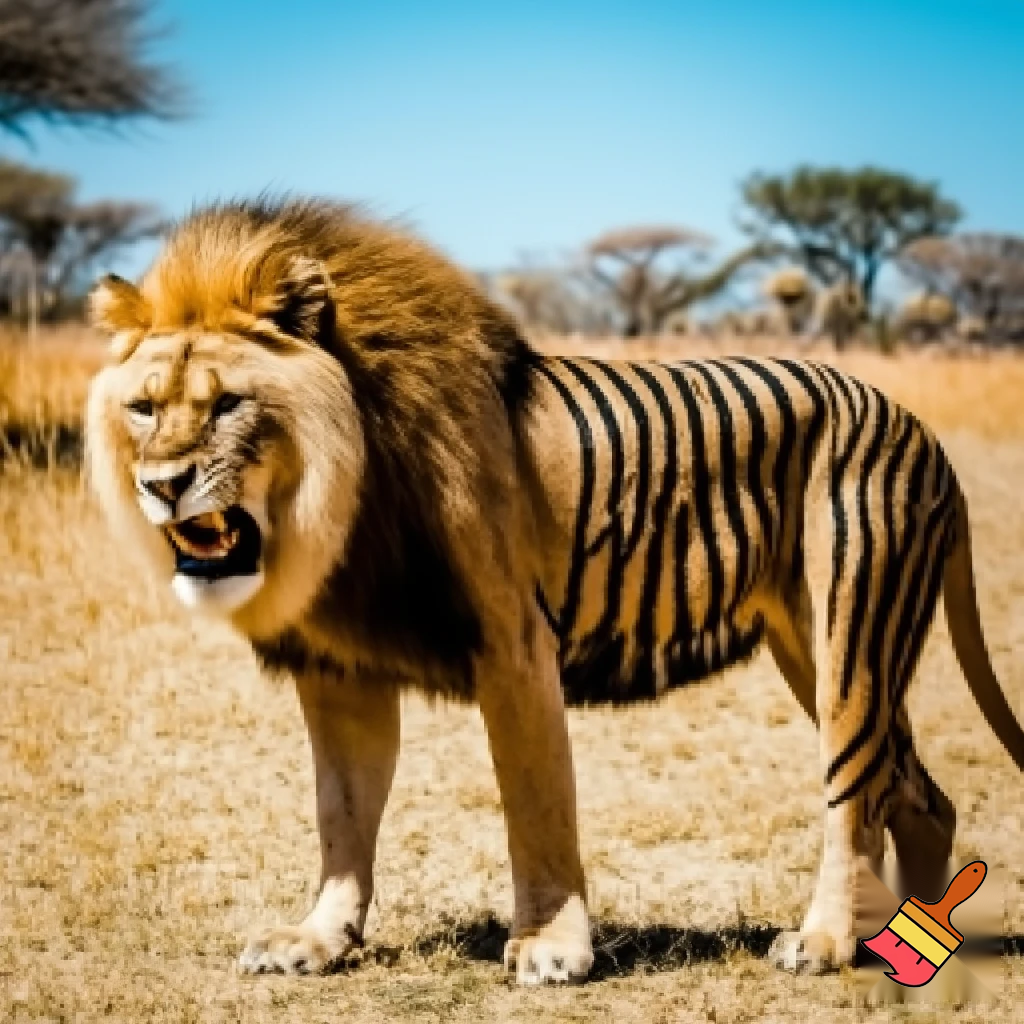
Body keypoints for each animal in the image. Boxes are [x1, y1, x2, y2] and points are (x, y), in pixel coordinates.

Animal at [85, 197, 1024, 984]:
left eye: (228, 405)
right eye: (143, 408)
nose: (163, 485)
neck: (341, 492)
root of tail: (922, 432)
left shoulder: (513, 642)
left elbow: (536, 803)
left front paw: (551, 948)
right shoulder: (337, 668)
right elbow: (341, 813)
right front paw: (317, 941)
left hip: (849, 633)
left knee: (854, 795)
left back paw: (827, 941)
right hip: (809, 646)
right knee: (923, 799)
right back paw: (913, 942)